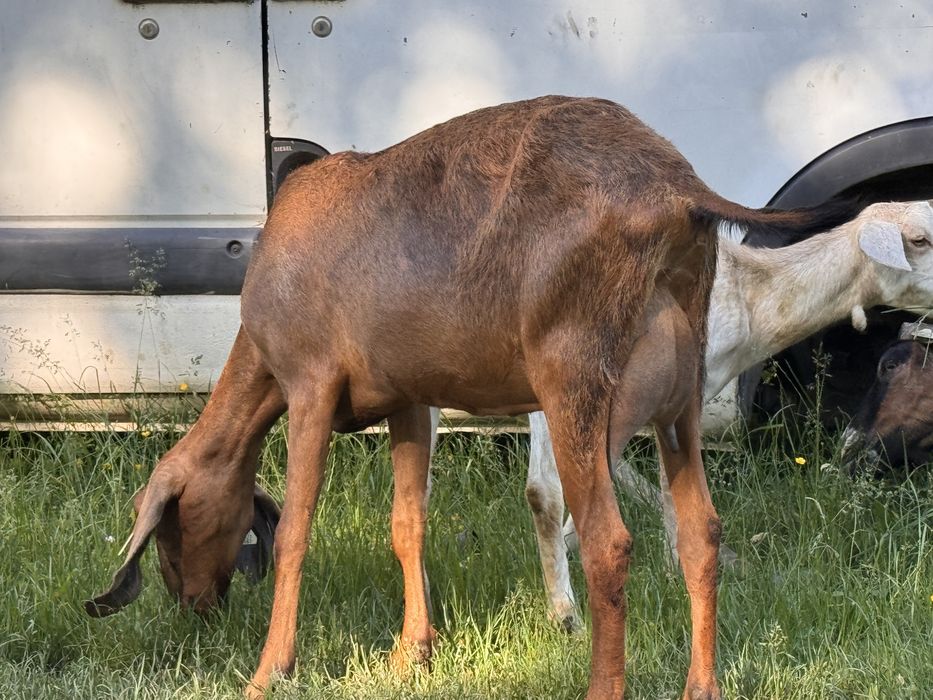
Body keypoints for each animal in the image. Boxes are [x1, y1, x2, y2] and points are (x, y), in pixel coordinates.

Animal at [86, 96, 862, 700]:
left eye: (171, 528)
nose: (196, 607)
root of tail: (677, 188)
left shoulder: (308, 385)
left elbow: (301, 531)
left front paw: (269, 668)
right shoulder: (406, 399)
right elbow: (407, 523)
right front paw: (412, 653)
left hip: (576, 381)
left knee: (609, 542)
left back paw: (601, 682)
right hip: (683, 401)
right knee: (700, 531)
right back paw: (701, 685)